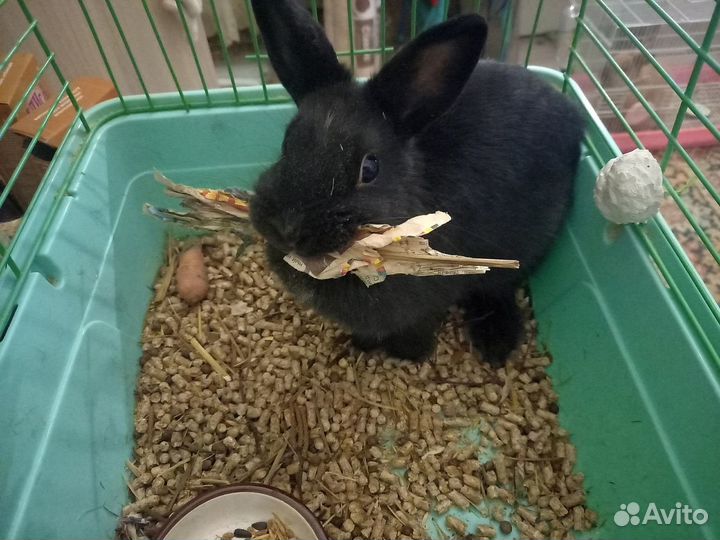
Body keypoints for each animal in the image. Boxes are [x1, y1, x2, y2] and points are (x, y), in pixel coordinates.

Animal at [248, 0, 584, 365]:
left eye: (370, 168)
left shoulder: (424, 307)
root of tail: (573, 117)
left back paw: (495, 343)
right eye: (287, 143)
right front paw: (359, 344)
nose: (286, 228)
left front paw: (406, 354)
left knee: (499, 288)